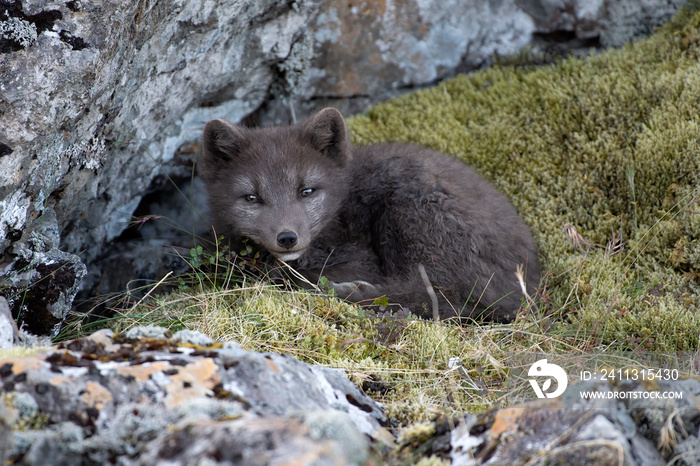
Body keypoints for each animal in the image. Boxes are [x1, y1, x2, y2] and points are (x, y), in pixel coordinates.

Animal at [200, 108, 540, 322]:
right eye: (252, 197)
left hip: (410, 208)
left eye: (306, 191)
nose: (287, 238)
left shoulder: (361, 258)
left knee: (444, 298)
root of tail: (532, 274)